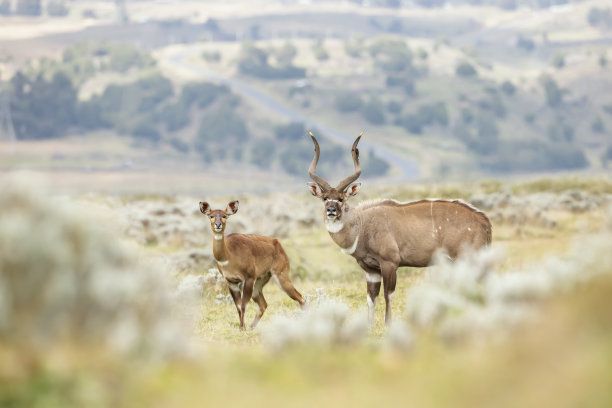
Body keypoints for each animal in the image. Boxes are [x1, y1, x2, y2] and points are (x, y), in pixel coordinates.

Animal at [200, 199, 304, 330]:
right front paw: (242, 328)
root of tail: (277, 243)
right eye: (211, 216)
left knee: (300, 296)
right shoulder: (231, 282)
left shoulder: (249, 277)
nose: (217, 225)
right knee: (263, 304)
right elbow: (238, 306)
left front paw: (241, 328)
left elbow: (243, 305)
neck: (229, 256)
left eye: (224, 216)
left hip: (281, 275)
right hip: (260, 281)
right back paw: (251, 327)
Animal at [306, 133, 492, 326]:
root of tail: (484, 222)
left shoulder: (390, 262)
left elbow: (389, 295)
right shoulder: (371, 270)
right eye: (325, 198)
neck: (362, 226)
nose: (331, 210)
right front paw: (369, 326)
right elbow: (371, 298)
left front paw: (388, 325)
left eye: (341, 199)